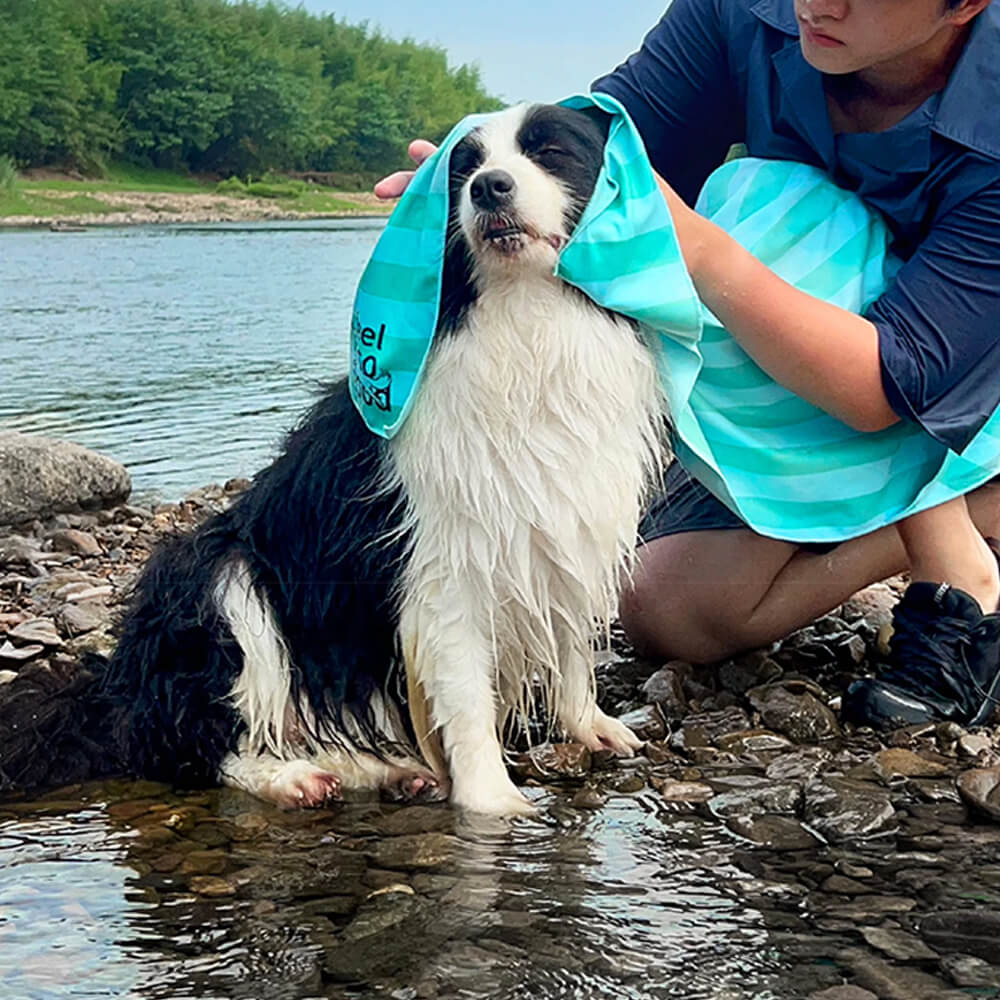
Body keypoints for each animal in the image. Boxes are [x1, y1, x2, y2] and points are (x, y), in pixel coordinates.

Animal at [86, 105, 668, 816]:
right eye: (464, 170)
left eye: (550, 151)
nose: (489, 188)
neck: (525, 321)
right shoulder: (447, 563)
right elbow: (466, 695)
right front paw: (493, 804)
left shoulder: (562, 522)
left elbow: (572, 643)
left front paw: (590, 725)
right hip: (219, 576)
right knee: (197, 737)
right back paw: (290, 777)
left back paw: (384, 769)